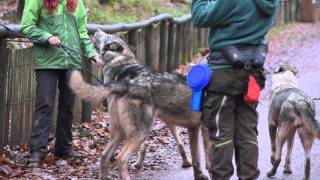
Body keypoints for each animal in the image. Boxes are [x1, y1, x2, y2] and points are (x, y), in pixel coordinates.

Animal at [69, 29, 211, 180]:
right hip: (142, 130)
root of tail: (126, 85)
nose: (96, 30)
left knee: (107, 155)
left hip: (130, 131)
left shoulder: (196, 128)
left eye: (106, 36)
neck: (122, 62)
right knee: (118, 157)